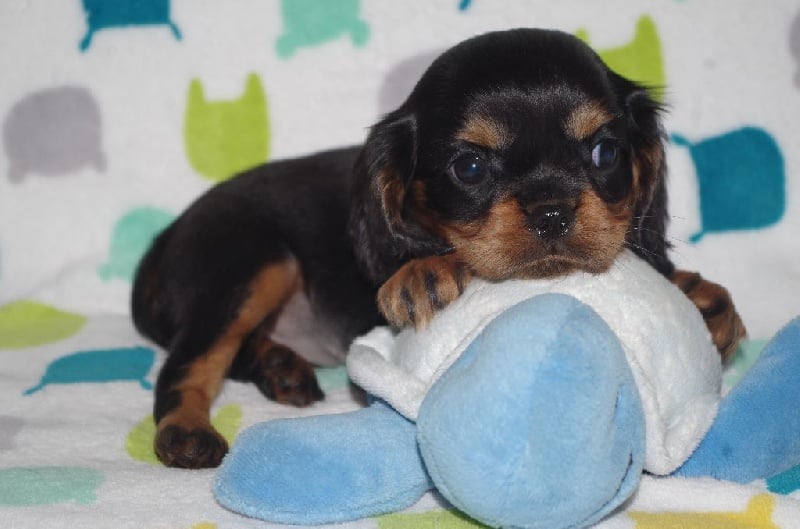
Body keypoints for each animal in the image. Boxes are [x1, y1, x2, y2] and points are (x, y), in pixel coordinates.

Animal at [132, 28, 745, 469]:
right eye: (469, 168)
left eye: (605, 153)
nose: (552, 212)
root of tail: (165, 238)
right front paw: (423, 271)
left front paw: (703, 297)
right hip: (254, 262)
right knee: (190, 360)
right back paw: (187, 431)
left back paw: (281, 367)